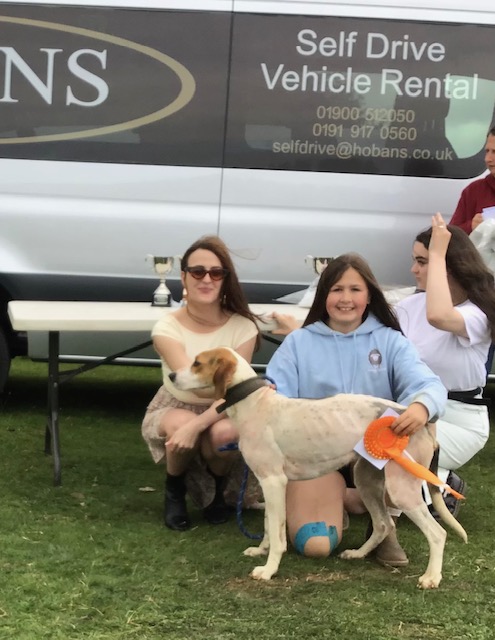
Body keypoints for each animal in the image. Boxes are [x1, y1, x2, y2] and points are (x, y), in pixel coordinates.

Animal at [169, 347, 467, 588]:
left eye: (197, 363)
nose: (171, 375)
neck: (255, 404)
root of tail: (422, 421)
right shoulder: (267, 483)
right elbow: (268, 526)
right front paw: (261, 551)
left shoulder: (274, 481)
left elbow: (278, 534)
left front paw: (268, 570)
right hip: (367, 481)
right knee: (384, 524)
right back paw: (357, 554)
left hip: (401, 489)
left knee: (437, 533)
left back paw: (431, 578)